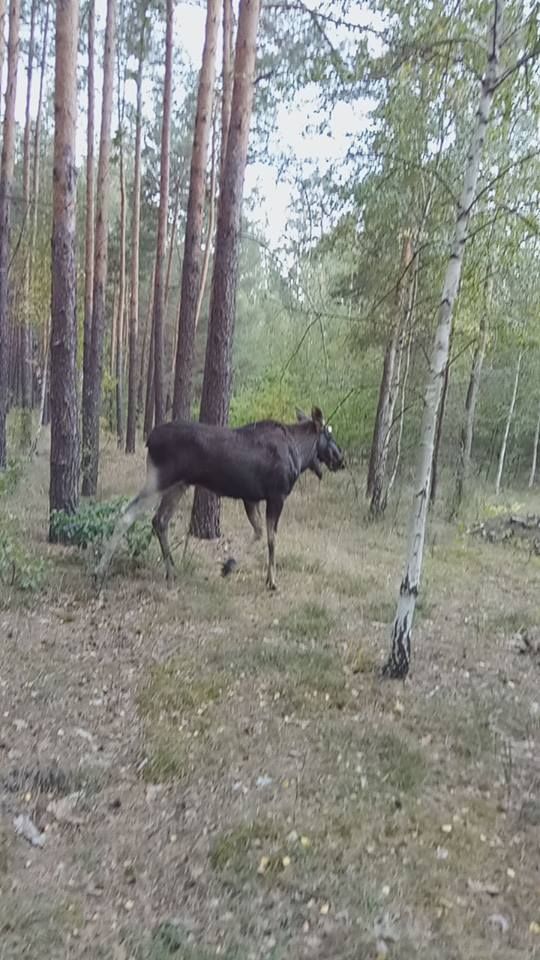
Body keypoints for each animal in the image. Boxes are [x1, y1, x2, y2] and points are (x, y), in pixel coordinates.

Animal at [95, 406, 344, 591]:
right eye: (329, 434)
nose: (342, 459)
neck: (299, 455)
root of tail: (149, 440)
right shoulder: (276, 496)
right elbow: (271, 538)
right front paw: (271, 581)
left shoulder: (250, 498)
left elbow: (258, 532)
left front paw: (229, 566)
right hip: (160, 480)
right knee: (128, 513)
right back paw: (100, 568)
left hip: (179, 485)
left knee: (159, 520)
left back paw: (171, 571)